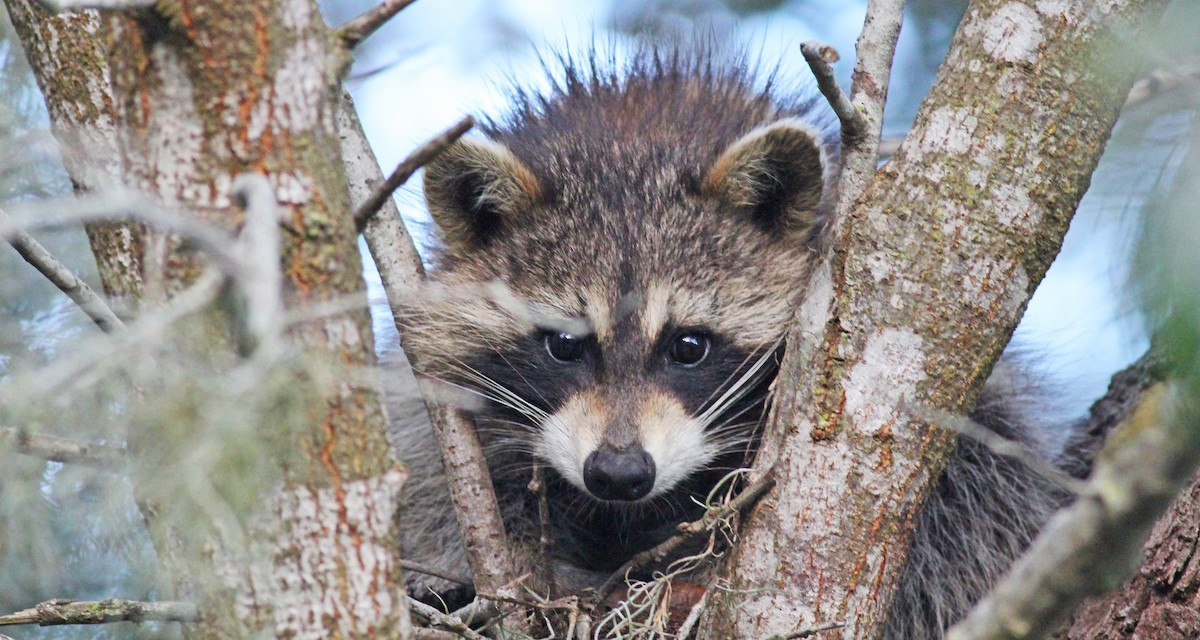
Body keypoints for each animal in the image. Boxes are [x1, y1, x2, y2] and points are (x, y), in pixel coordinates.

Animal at [386, 50, 1076, 639]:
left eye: (689, 345)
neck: (633, 136)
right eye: (563, 345)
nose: (619, 473)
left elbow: (963, 512)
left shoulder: (975, 441)